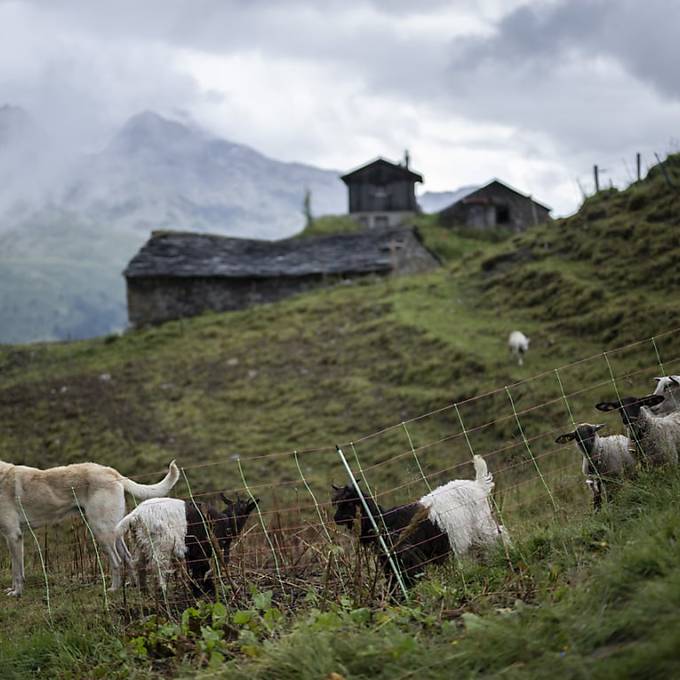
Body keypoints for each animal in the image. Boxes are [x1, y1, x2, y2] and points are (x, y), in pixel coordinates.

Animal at [116, 494, 258, 596]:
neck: (226, 521)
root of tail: (136, 515)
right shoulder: (202, 549)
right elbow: (202, 569)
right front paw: (206, 591)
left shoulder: (192, 551)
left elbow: (194, 570)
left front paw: (197, 590)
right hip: (161, 544)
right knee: (158, 565)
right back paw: (162, 591)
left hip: (139, 542)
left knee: (139, 564)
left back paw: (145, 592)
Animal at [332, 456, 508, 588]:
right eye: (337, 503)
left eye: (349, 503)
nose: (335, 518)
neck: (383, 520)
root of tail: (478, 486)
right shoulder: (390, 561)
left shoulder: (410, 556)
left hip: (482, 525)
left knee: (499, 535)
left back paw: (505, 555)